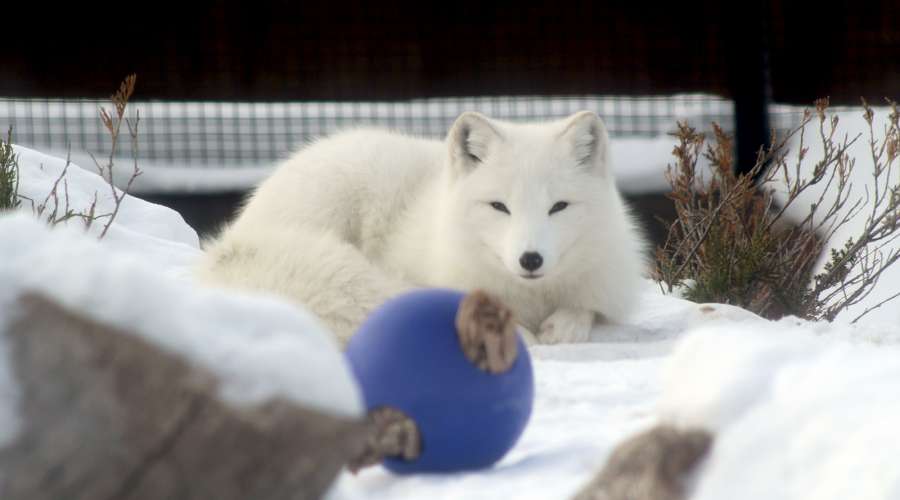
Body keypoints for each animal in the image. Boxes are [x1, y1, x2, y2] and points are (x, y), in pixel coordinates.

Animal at [197, 111, 648, 345]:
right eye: (499, 207)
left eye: (559, 207)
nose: (531, 259)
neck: (532, 298)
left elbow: (585, 308)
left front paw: (564, 325)